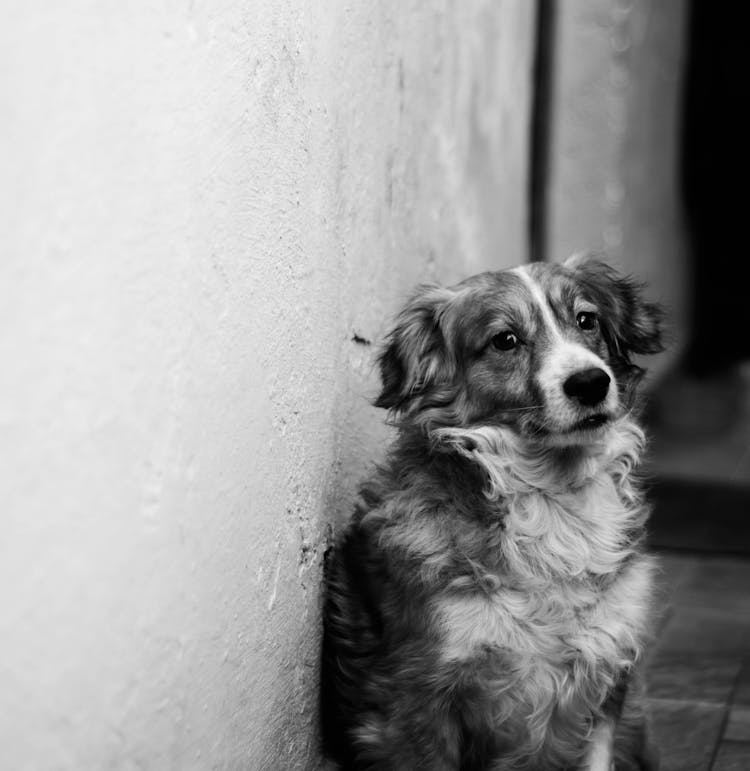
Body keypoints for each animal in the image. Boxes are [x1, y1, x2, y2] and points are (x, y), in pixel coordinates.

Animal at [324, 258, 664, 771]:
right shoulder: (414, 700)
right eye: (505, 340)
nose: (591, 382)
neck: (551, 500)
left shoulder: (607, 676)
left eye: (587, 319)